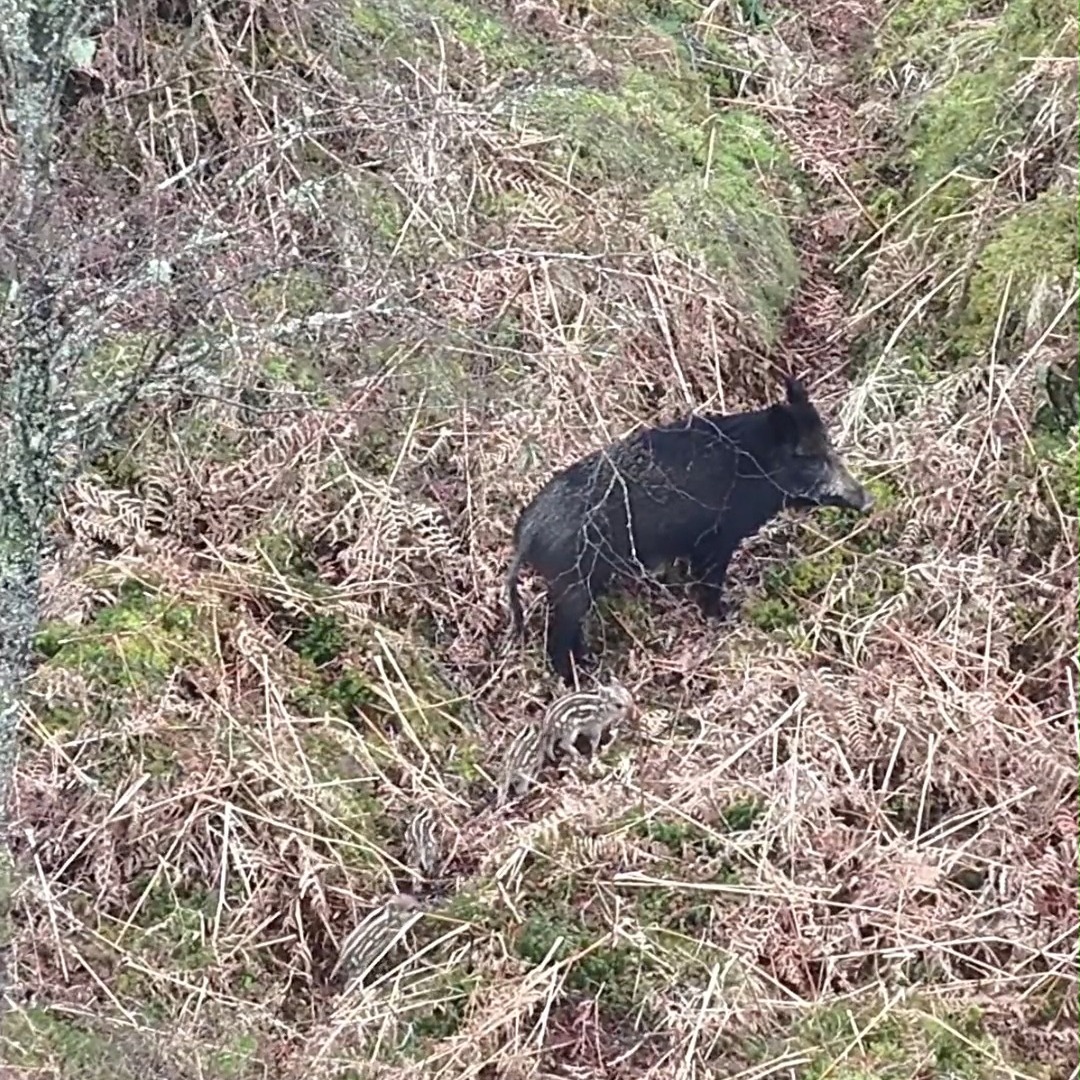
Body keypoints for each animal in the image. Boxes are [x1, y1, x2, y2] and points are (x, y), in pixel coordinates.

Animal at [505, 376, 873, 684]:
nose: (868, 501)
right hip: (571, 584)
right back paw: (579, 678)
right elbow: (709, 584)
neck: (753, 468)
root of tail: (525, 532)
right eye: (810, 458)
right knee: (556, 642)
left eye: (830, 445)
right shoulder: (716, 540)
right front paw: (724, 617)